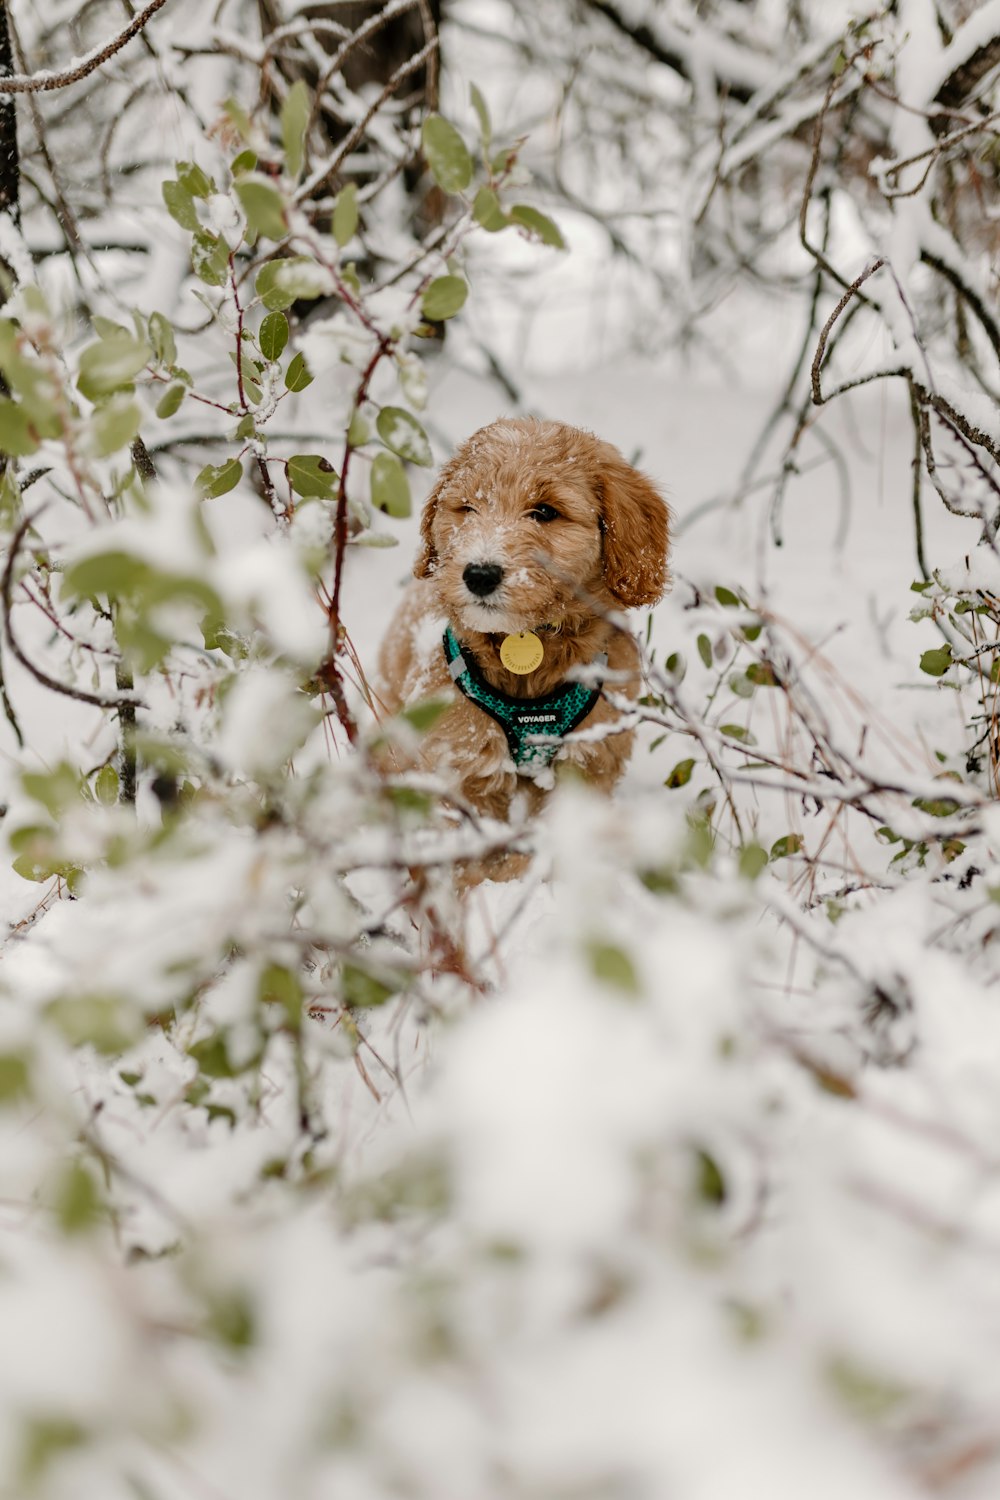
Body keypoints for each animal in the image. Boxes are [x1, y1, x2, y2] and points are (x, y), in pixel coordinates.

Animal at [374, 417, 671, 858]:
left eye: (545, 512)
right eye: (468, 508)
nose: (479, 574)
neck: (528, 640)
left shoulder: (589, 756)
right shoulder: (463, 757)